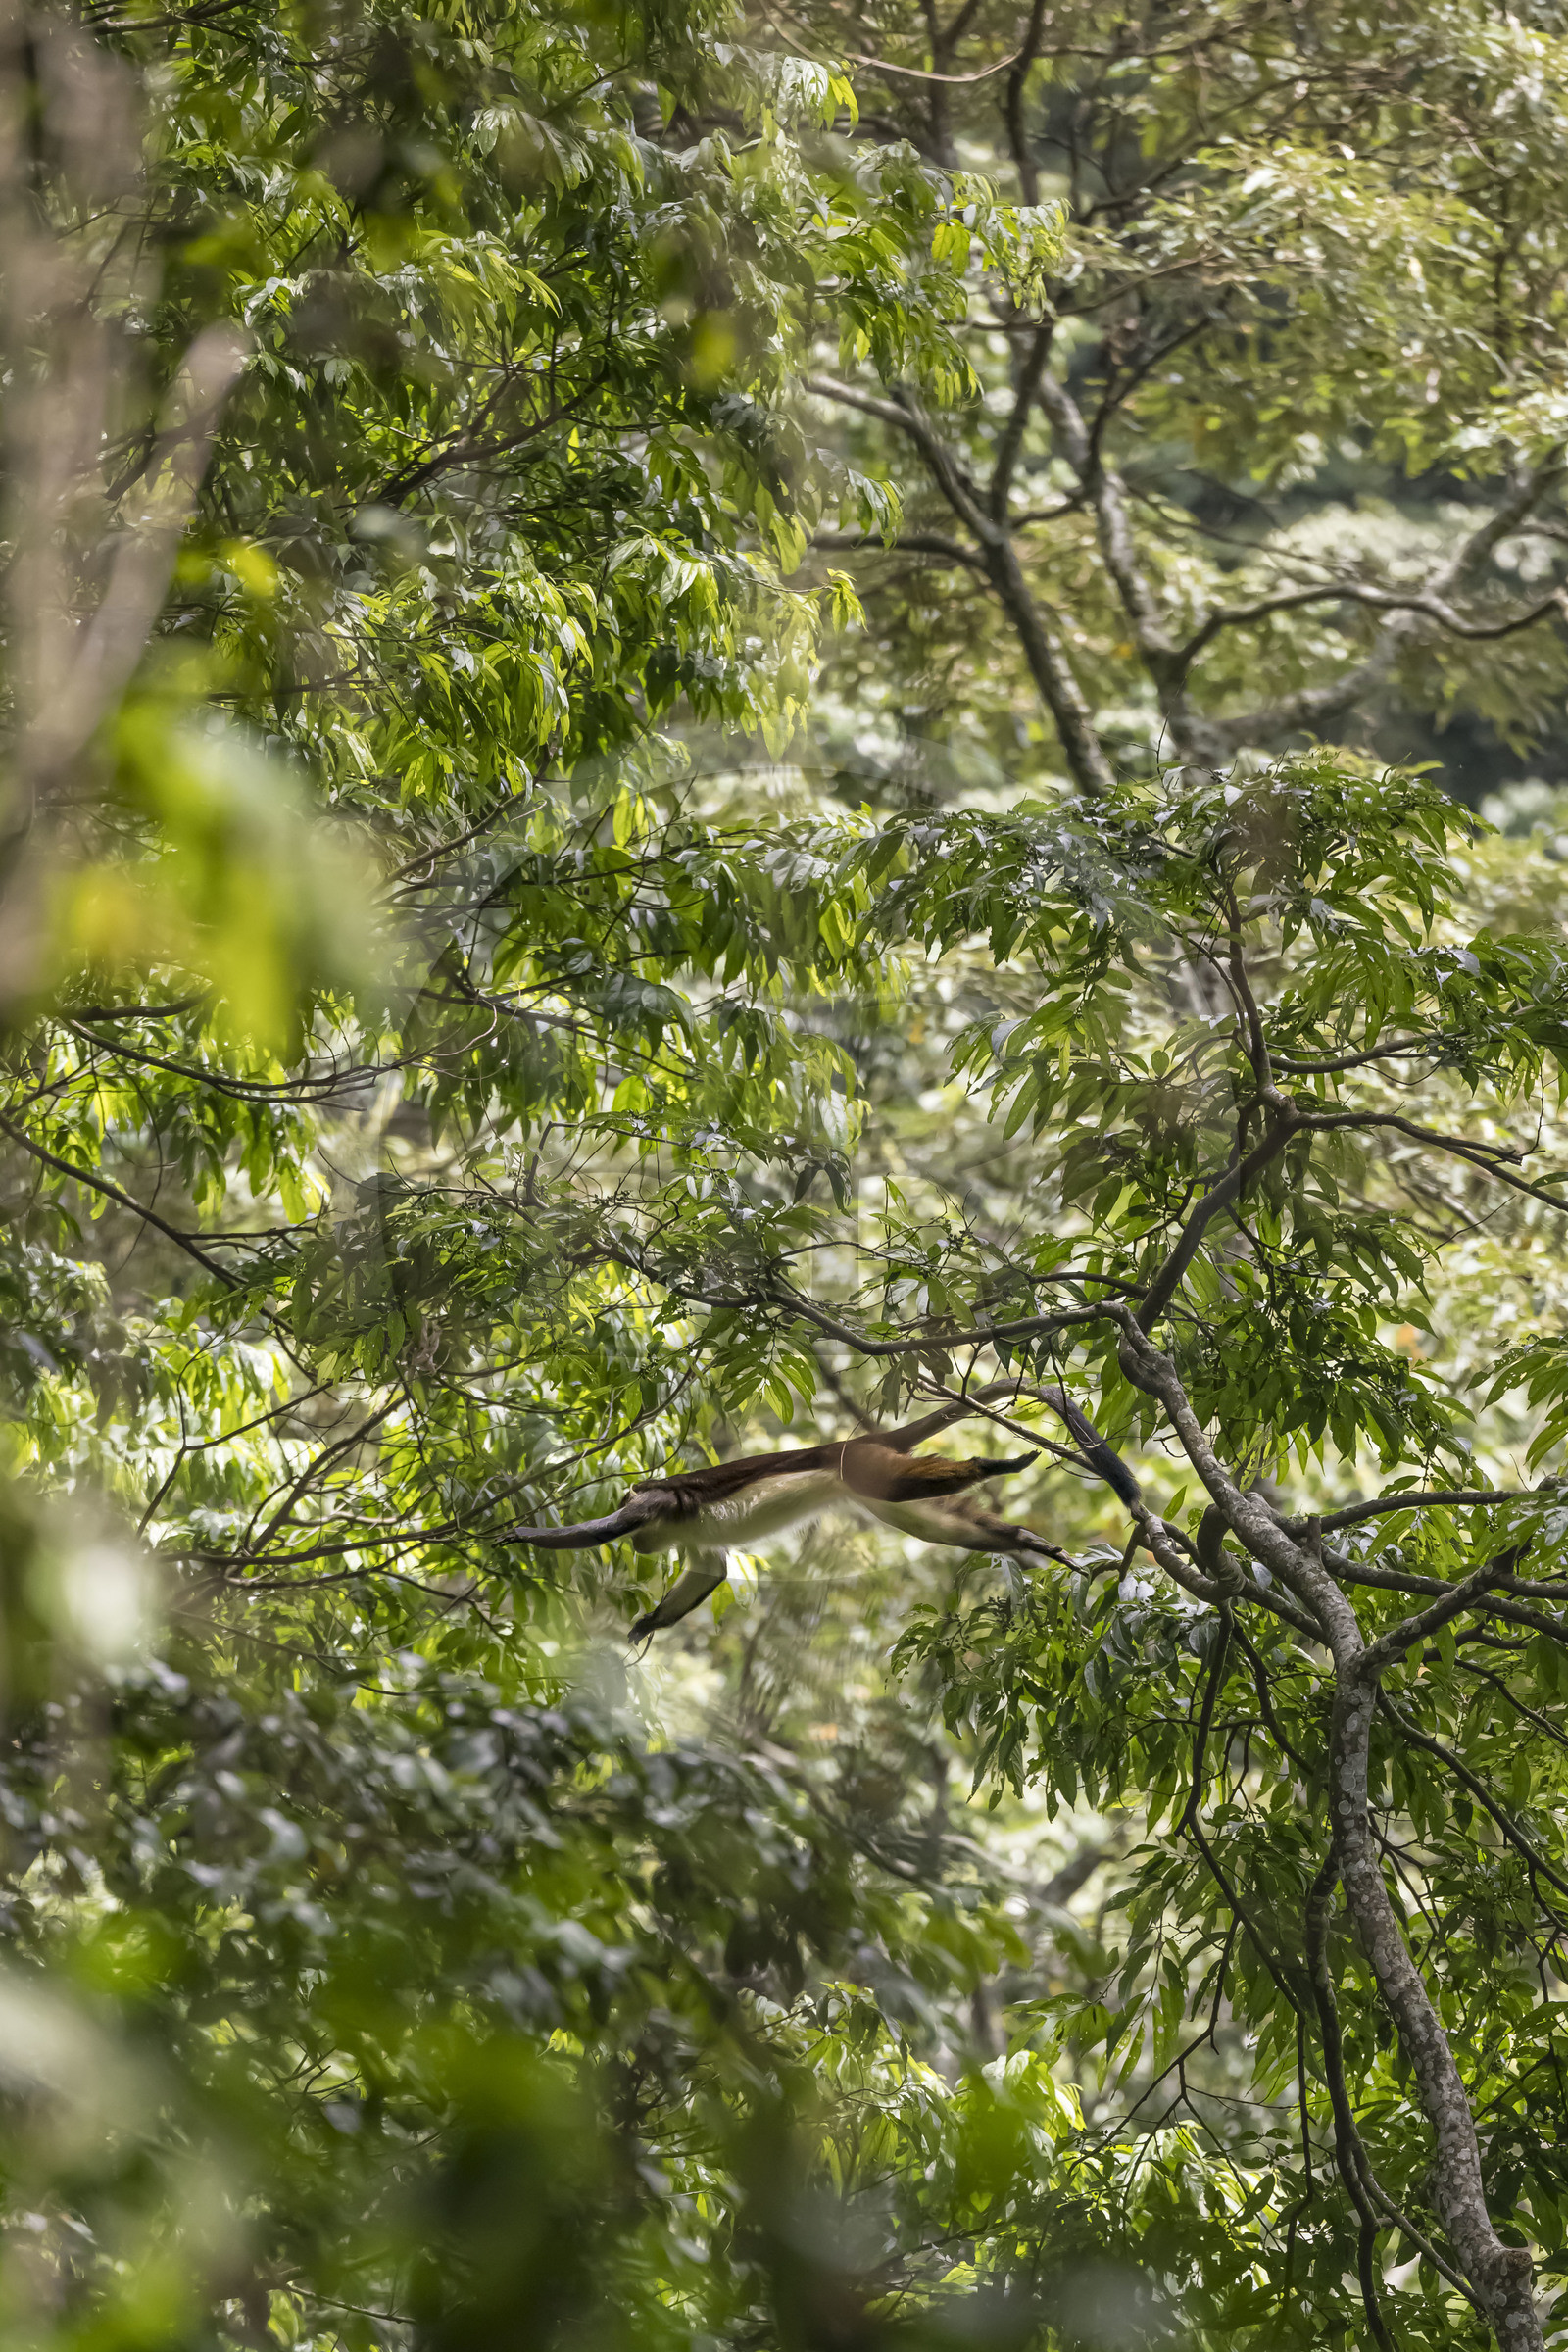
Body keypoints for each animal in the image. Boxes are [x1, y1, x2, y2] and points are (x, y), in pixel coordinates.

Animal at [501, 1383, 1139, 1643]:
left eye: (636, 1533)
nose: (638, 1548)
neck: (660, 1517)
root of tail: (860, 1440)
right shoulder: (684, 1535)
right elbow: (710, 1569)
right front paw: (649, 1624)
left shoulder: (656, 1503)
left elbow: (599, 1532)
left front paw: (523, 1534)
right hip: (868, 1482)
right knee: (930, 1523)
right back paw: (1029, 1540)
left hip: (861, 1467)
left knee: (905, 1489)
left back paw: (992, 1464)